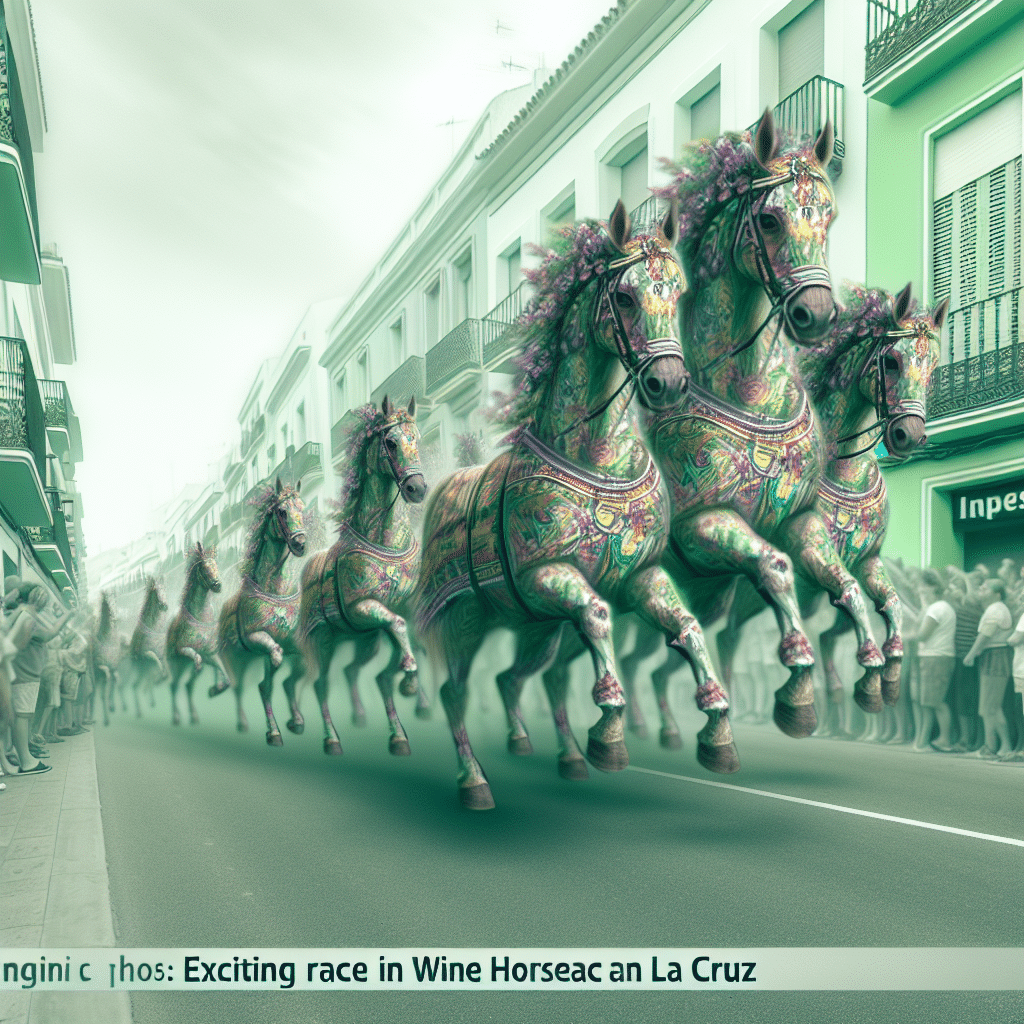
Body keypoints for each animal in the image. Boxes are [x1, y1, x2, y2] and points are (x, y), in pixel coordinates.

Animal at [165, 544, 228, 729]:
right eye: (204, 568)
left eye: (216, 566)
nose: (218, 586)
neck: (201, 619)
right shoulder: (183, 650)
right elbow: (196, 658)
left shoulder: (211, 655)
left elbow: (226, 679)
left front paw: (214, 690)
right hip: (177, 664)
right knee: (174, 685)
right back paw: (176, 718)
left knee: (188, 685)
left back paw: (193, 717)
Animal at [212, 479, 305, 745]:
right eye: (282, 512)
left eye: (303, 508)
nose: (300, 543)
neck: (275, 588)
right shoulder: (258, 639)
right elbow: (269, 678)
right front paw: (274, 732)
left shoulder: (295, 643)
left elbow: (293, 676)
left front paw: (296, 721)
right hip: (235, 657)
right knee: (238, 687)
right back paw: (243, 723)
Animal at [299, 395, 425, 757]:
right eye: (391, 442)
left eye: (418, 439)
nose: (418, 488)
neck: (385, 540)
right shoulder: (363, 607)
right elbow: (398, 625)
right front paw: (409, 679)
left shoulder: (404, 607)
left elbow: (406, 635)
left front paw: (414, 687)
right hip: (323, 640)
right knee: (320, 683)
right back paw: (332, 739)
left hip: (363, 639)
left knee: (352, 669)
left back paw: (372, 722)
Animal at [413, 199, 737, 806]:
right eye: (626, 297)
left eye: (677, 292)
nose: (670, 383)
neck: (598, 457)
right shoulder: (551, 576)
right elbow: (599, 614)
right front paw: (609, 729)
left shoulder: (640, 575)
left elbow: (686, 625)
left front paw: (717, 730)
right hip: (466, 619)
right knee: (454, 693)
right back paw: (475, 782)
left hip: (536, 626)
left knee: (520, 678)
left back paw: (556, 754)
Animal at [720, 280, 942, 737]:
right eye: (891, 362)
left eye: (932, 369)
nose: (909, 435)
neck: (844, 470)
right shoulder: (813, 555)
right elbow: (851, 596)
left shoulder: (868, 561)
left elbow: (889, 604)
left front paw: (883, 684)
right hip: (756, 591)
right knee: (728, 634)